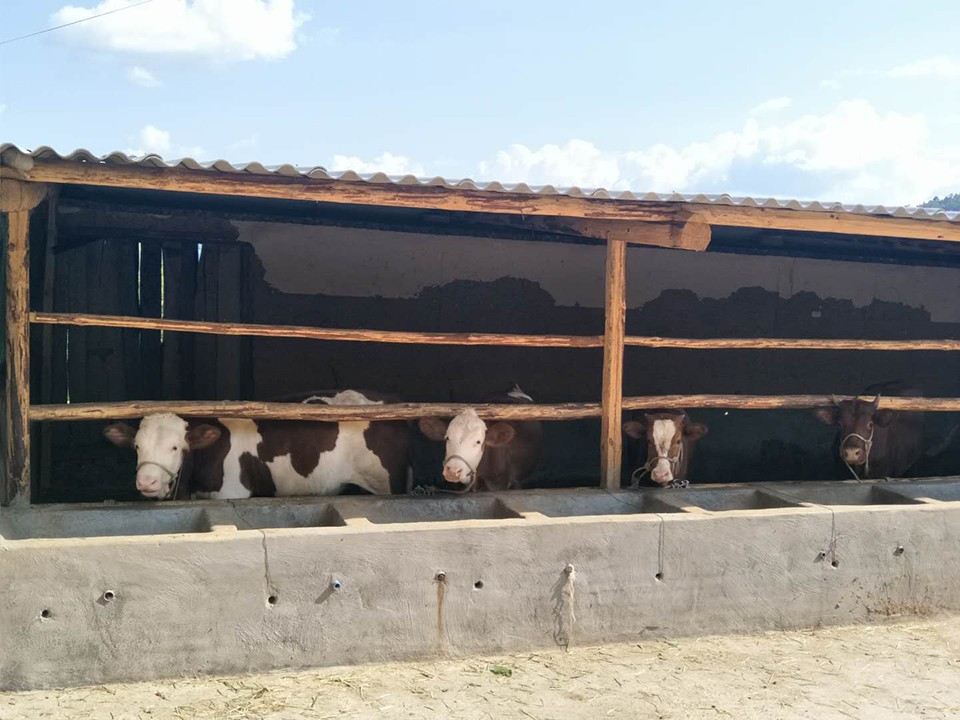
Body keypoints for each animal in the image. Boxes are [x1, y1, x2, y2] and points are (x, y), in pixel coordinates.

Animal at [103, 389, 412, 500]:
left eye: (176, 447)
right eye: (137, 447)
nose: (147, 482)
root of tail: (393, 400)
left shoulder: (231, 493)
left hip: (389, 483)